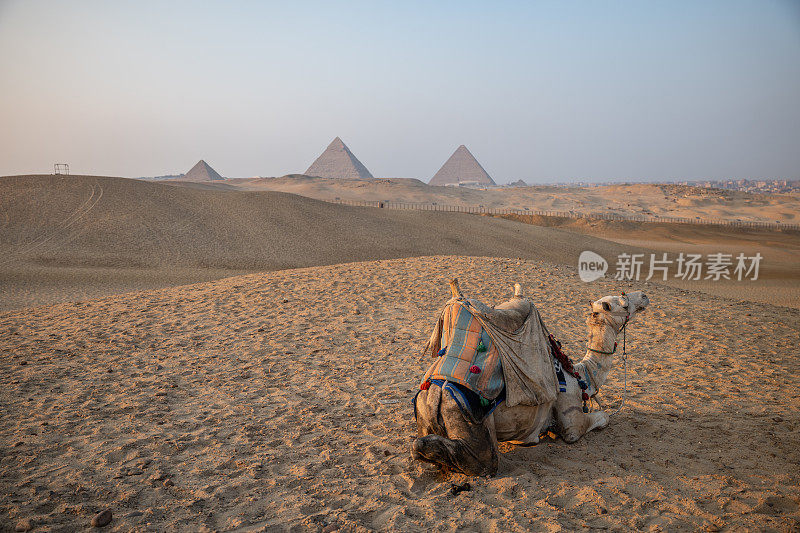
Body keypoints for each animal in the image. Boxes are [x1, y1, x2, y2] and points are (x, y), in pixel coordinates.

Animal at [412, 280, 648, 476]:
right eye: (623, 304)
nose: (644, 295)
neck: (581, 376)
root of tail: (433, 393)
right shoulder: (571, 420)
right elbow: (602, 418)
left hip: (424, 410)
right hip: (464, 416)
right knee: (482, 462)